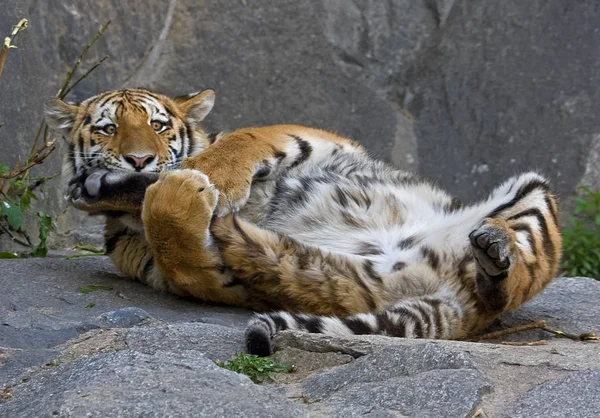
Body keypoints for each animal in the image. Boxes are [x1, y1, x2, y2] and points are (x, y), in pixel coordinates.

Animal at [45, 87, 564, 356]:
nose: (139, 159)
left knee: (505, 274)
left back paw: (494, 249)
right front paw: (161, 190)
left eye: (156, 125)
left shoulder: (312, 137)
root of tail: (462, 304)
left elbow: (240, 141)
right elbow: (177, 249)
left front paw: (202, 178)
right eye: (108, 129)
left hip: (535, 194)